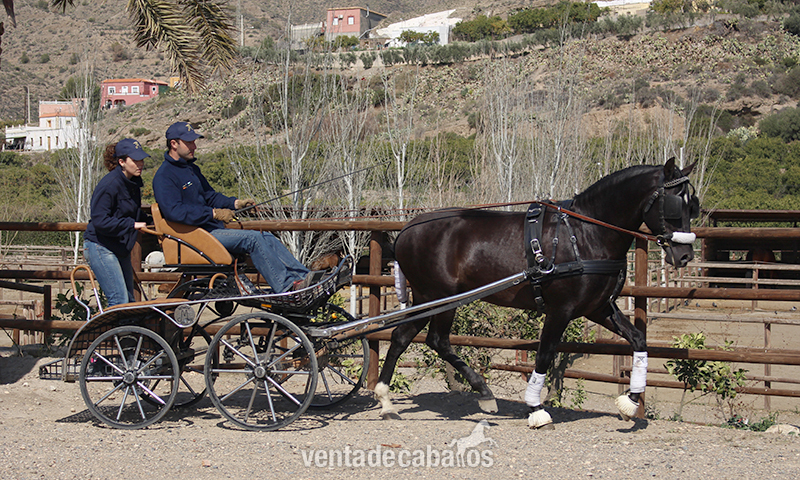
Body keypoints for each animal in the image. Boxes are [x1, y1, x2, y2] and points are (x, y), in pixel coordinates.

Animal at [375, 159, 699, 428]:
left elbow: (638, 340)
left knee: (408, 337)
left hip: (430, 298)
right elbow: (544, 354)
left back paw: (388, 401)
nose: (684, 255)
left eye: (692, 205)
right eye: (674, 204)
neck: (584, 235)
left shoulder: (599, 308)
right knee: (434, 340)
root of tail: (408, 228)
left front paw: (630, 402)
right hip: (438, 296)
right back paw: (481, 392)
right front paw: (536, 409)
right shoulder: (560, 311)